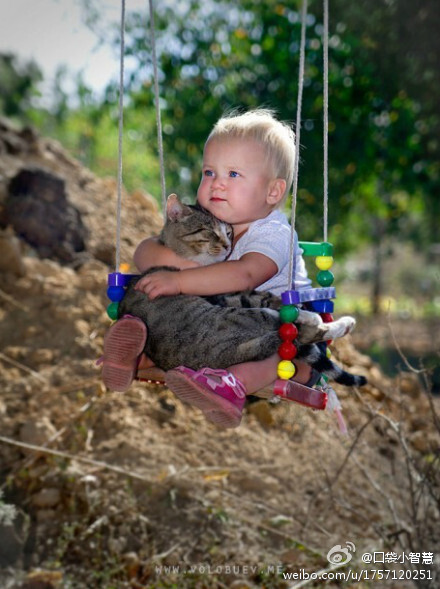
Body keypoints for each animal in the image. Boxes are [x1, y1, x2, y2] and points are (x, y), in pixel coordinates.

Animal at [117, 193, 368, 386]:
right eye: (209, 231)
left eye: (228, 232)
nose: (228, 245)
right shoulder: (226, 295)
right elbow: (266, 298)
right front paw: (305, 312)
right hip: (242, 317)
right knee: (295, 330)